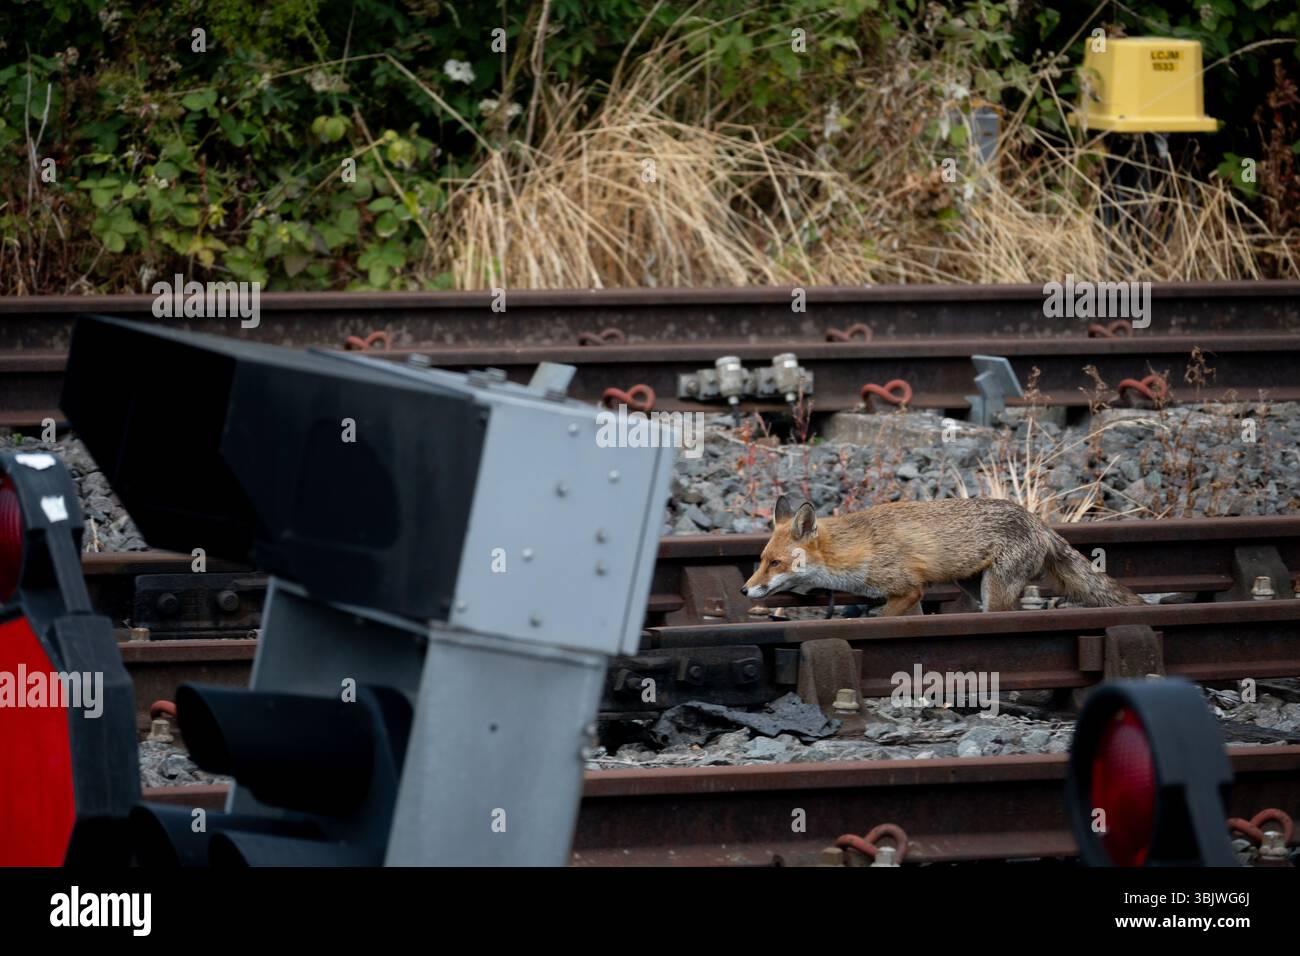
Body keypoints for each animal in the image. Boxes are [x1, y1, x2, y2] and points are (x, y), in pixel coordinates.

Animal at [741, 495, 1145, 616]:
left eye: (775, 563)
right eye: (760, 560)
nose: (745, 591)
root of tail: (1038, 521)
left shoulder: (907, 589)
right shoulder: (910, 596)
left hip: (994, 592)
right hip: (974, 586)